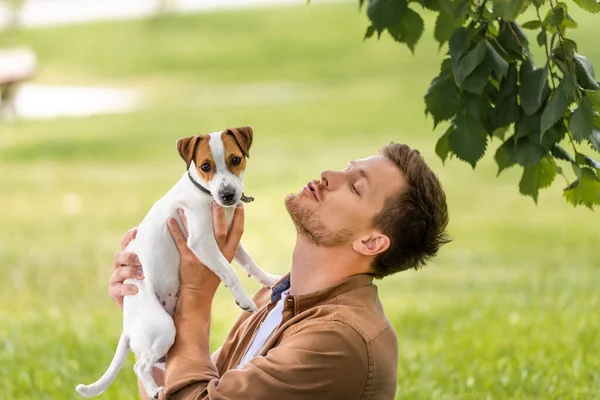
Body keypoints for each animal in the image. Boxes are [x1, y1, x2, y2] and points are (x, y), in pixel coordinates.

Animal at [76, 127, 280, 400]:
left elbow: (249, 263)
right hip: (162, 329)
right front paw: (243, 299)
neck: (205, 193)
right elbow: (229, 272)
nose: (227, 196)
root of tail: (128, 327)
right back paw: (154, 389)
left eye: (236, 159)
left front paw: (269, 279)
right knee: (140, 366)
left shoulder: (229, 241)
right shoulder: (202, 242)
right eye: (205, 166)